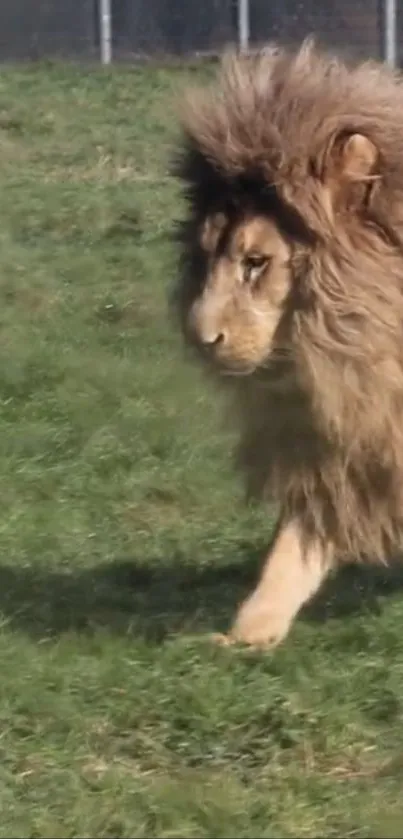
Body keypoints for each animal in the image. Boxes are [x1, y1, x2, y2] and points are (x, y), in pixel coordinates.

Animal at [170, 39, 403, 648]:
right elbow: (291, 548)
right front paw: (247, 636)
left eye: (256, 262)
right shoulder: (343, 436)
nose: (199, 338)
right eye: (205, 256)